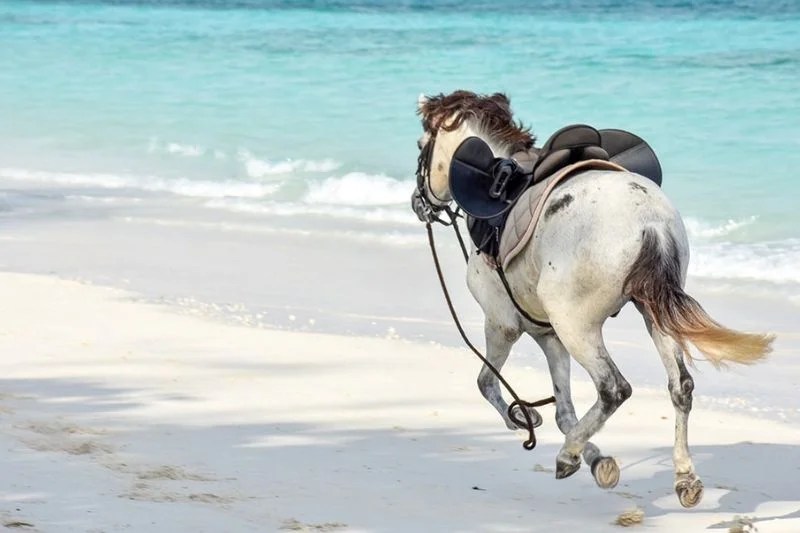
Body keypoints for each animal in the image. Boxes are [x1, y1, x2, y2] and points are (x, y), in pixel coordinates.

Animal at [411, 90, 774, 508]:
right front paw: (597, 459)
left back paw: (567, 456)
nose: (418, 203)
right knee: (680, 386)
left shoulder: (505, 324)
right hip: (653, 313)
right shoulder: (547, 333)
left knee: (613, 388)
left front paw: (528, 422)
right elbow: (564, 411)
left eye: (421, 146)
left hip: (577, 325)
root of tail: (649, 223)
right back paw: (685, 477)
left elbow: (488, 383)